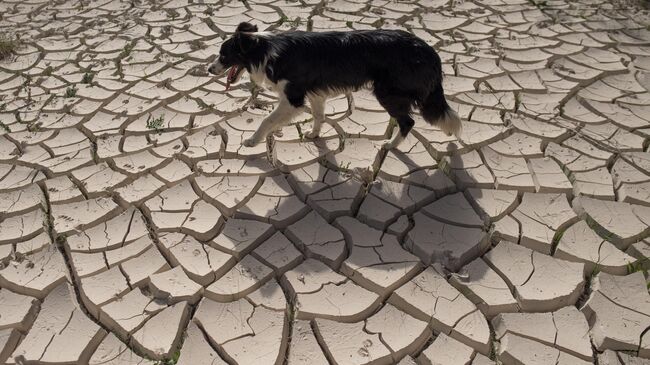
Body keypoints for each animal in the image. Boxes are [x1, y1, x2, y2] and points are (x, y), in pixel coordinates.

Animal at [209, 22, 460, 149]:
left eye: (223, 55)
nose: (209, 70)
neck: (264, 50)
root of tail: (428, 50)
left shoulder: (293, 98)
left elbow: (267, 120)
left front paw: (253, 140)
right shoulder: (315, 94)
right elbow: (318, 116)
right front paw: (313, 134)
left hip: (387, 93)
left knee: (408, 121)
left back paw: (391, 145)